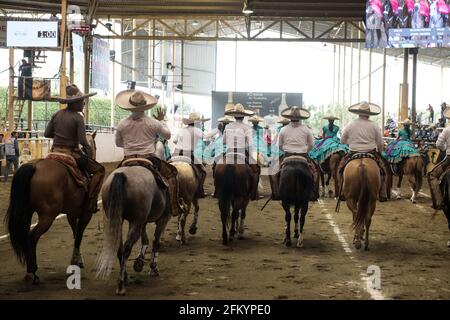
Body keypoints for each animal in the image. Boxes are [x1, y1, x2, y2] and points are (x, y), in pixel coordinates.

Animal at [5, 133, 97, 284]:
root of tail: (34, 167)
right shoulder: (86, 214)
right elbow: (79, 234)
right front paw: (78, 261)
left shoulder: (71, 213)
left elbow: (75, 232)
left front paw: (76, 259)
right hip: (48, 216)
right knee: (32, 236)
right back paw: (32, 272)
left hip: (26, 212)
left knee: (26, 235)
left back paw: (29, 272)